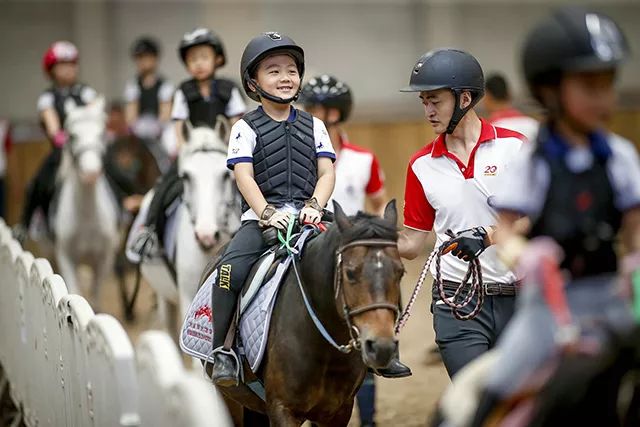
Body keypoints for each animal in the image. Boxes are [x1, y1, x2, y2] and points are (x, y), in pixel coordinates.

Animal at [52, 97, 121, 310]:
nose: (90, 172)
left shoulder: (104, 258)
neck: (88, 215)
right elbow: (74, 289)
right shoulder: (65, 257)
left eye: (102, 133)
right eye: (72, 135)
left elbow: (96, 293)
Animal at [208, 201, 404, 426]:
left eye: (400, 272)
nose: (381, 347)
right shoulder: (282, 409)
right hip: (230, 399)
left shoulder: (339, 411)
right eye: (350, 273)